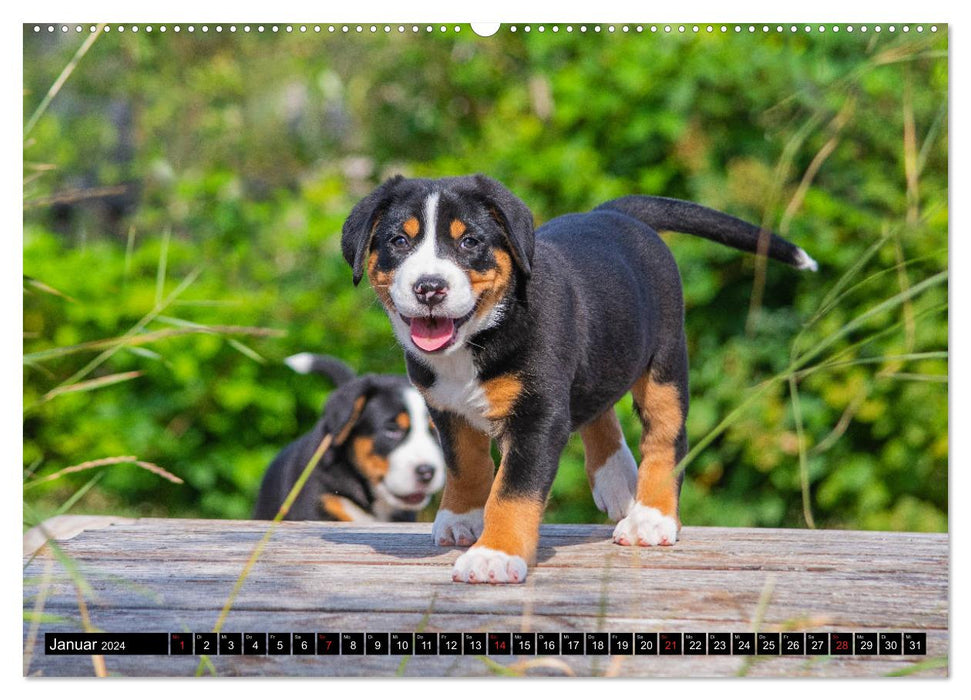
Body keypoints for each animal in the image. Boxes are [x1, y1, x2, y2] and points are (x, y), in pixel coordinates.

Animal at [338, 174, 816, 580]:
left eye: (469, 241)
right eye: (399, 241)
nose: (429, 287)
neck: (478, 337)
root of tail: (613, 213)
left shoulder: (538, 416)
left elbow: (513, 491)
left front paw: (494, 554)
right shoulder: (446, 410)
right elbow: (467, 465)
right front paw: (461, 519)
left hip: (664, 363)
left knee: (665, 438)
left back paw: (651, 517)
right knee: (598, 406)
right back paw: (617, 479)